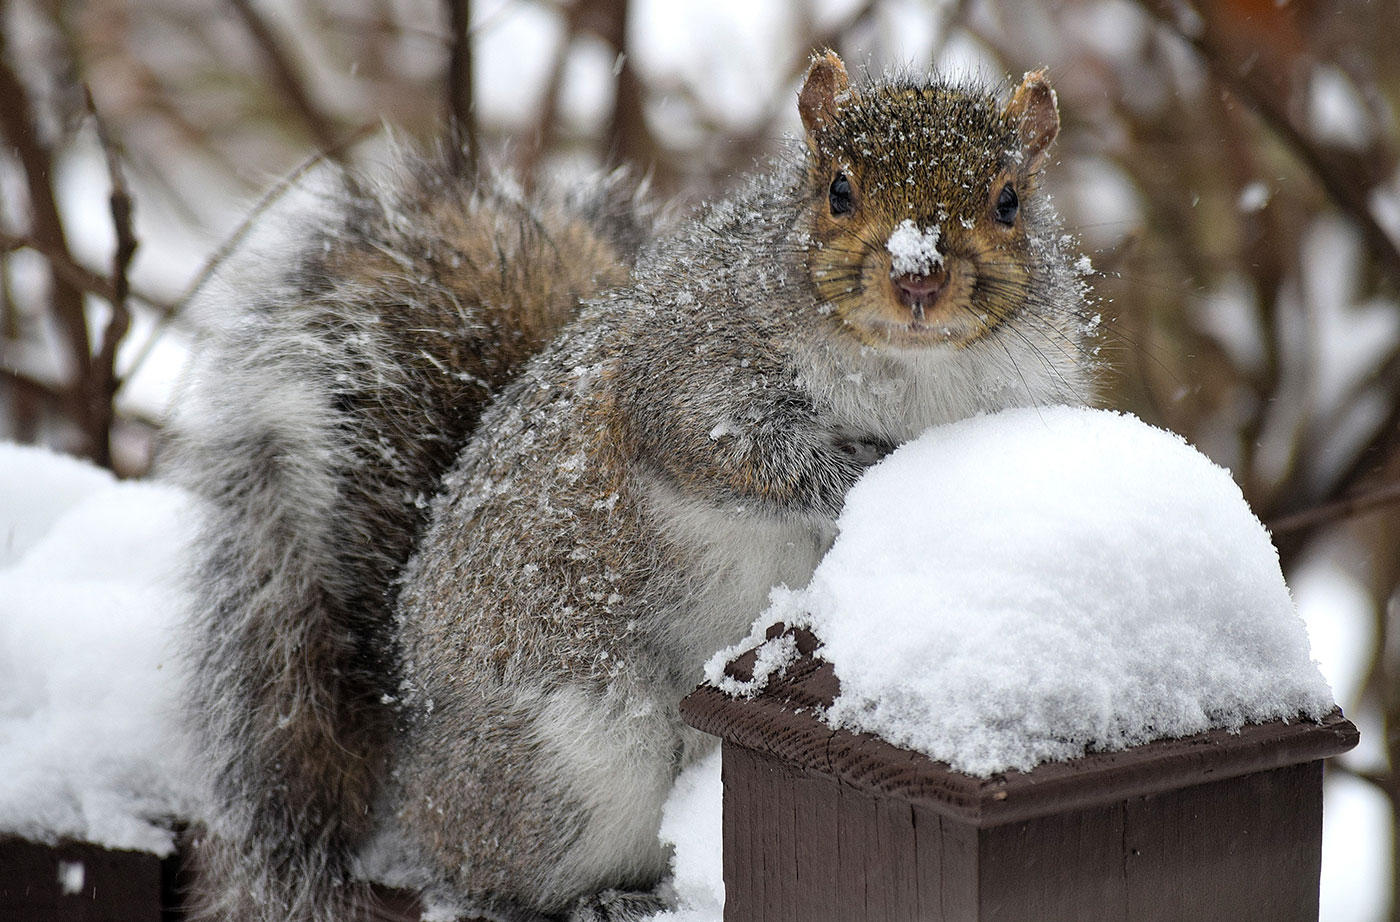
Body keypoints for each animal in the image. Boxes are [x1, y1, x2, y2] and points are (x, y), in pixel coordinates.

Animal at [163, 52, 1097, 922]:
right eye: (837, 190)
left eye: (1010, 201)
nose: (918, 277)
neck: (913, 369)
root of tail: (414, 760)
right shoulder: (686, 380)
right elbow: (743, 456)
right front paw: (858, 475)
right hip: (574, 761)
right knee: (486, 881)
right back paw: (595, 897)